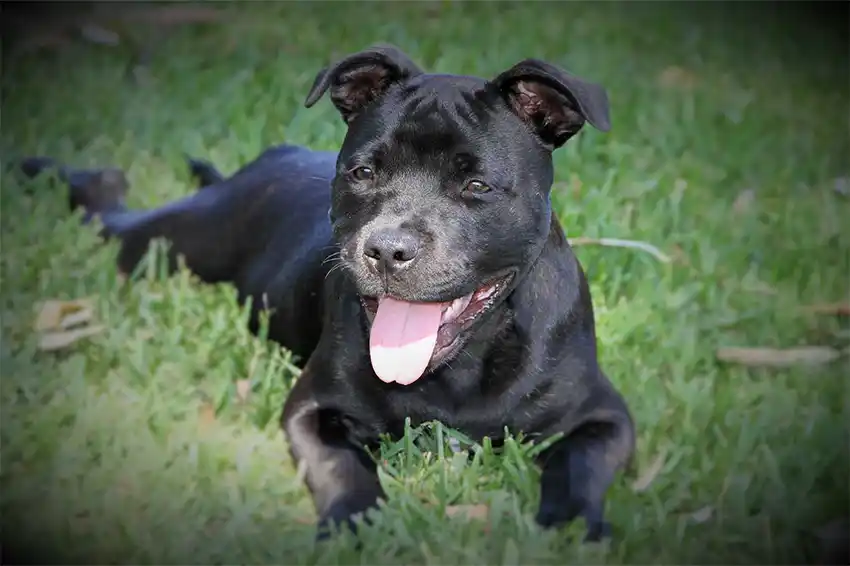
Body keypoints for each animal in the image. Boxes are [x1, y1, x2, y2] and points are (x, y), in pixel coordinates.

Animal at [19, 45, 632, 544]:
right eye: (362, 172)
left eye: (476, 185)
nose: (387, 249)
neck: (458, 368)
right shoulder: (313, 408)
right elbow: (342, 465)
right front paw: (355, 527)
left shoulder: (604, 416)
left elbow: (578, 466)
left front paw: (570, 527)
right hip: (164, 239)